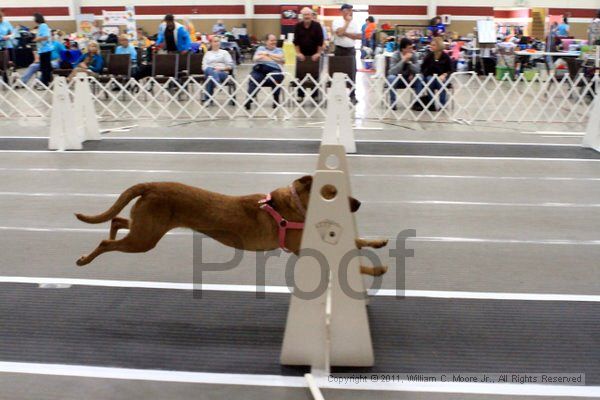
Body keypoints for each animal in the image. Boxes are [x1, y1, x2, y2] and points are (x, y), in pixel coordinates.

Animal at [76, 176, 390, 276]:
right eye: (332, 192)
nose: (358, 204)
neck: (296, 206)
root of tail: (151, 184)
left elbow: (358, 241)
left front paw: (378, 241)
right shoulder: (305, 245)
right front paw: (376, 270)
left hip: (146, 227)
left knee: (117, 220)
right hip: (145, 238)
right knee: (106, 242)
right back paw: (84, 259)